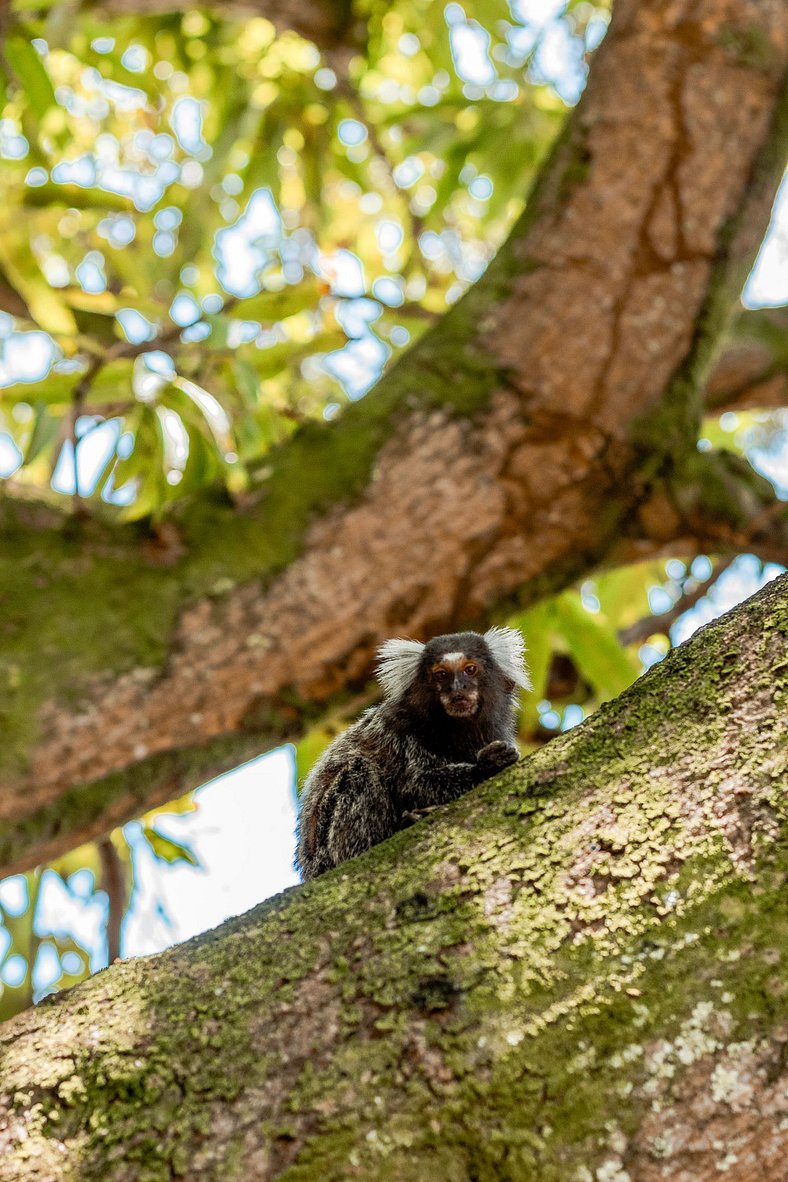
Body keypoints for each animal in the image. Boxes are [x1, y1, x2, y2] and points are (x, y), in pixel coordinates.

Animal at [295, 628, 529, 879]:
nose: (458, 688)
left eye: (470, 669)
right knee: (359, 770)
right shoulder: (401, 732)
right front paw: (486, 765)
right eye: (441, 675)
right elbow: (416, 786)